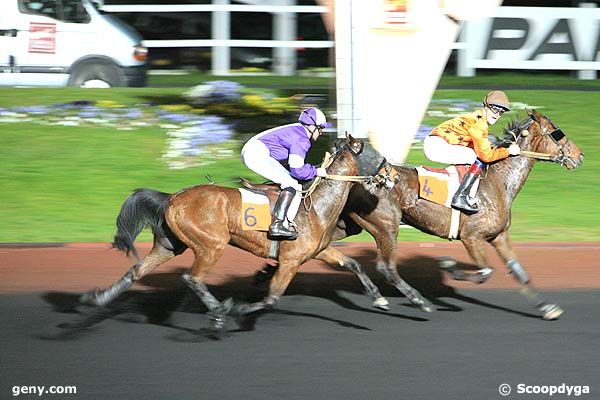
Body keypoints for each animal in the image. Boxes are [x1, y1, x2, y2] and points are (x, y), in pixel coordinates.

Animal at [304, 108, 580, 318]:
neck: (499, 182)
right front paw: (449, 266)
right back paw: (417, 301)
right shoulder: (472, 237)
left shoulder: (499, 235)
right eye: (557, 133)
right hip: (386, 225)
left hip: (348, 224)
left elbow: (519, 271)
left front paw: (547, 308)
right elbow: (485, 271)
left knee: (322, 245)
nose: (579, 155)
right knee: (386, 267)